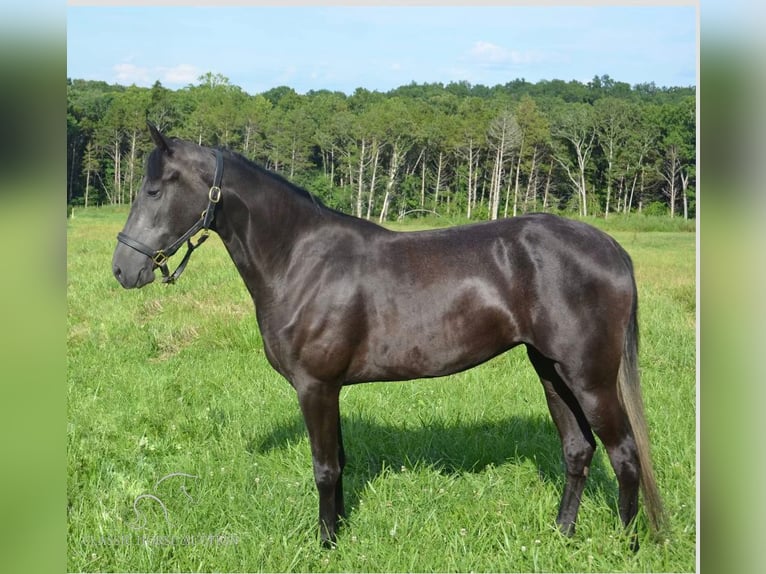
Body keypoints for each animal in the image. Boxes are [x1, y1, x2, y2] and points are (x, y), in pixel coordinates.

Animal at [114, 125, 664, 548]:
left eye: (154, 191)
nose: (123, 268)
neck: (300, 259)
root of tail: (610, 248)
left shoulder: (315, 386)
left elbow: (324, 468)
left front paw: (325, 544)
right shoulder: (330, 389)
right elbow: (339, 462)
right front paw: (337, 532)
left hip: (590, 377)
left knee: (624, 455)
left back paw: (626, 544)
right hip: (551, 371)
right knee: (578, 450)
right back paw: (561, 534)